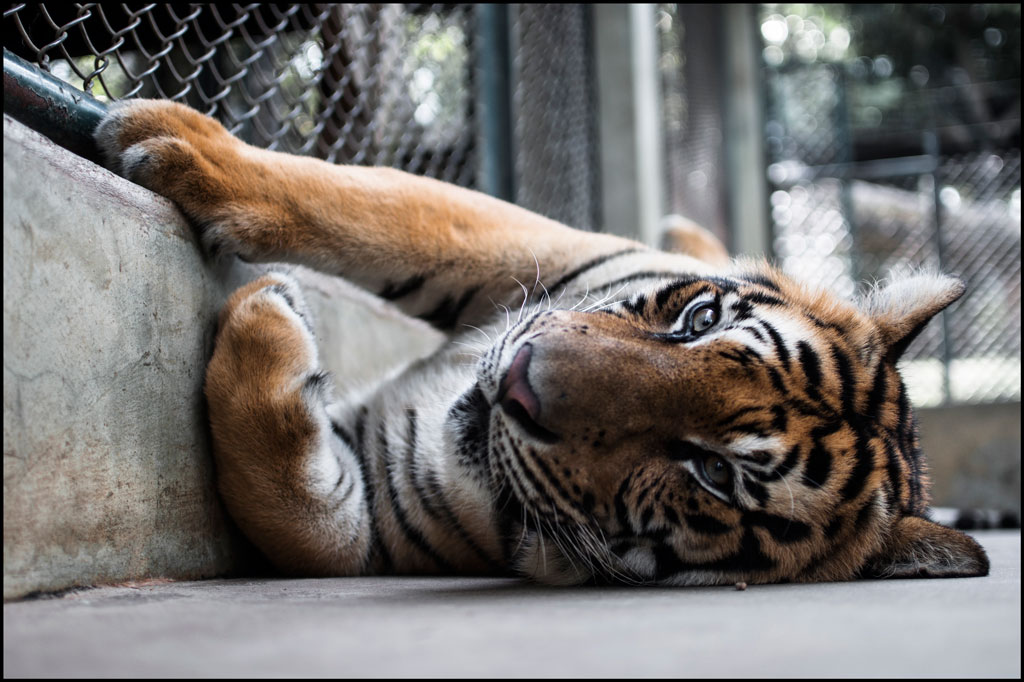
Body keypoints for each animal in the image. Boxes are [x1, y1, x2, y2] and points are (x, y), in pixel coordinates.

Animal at [94, 99, 989, 586]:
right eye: (700, 320)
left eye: (713, 472)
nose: (519, 382)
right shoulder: (542, 251)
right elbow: (376, 204)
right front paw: (181, 144)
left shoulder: (378, 534)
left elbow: (295, 518)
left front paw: (262, 316)